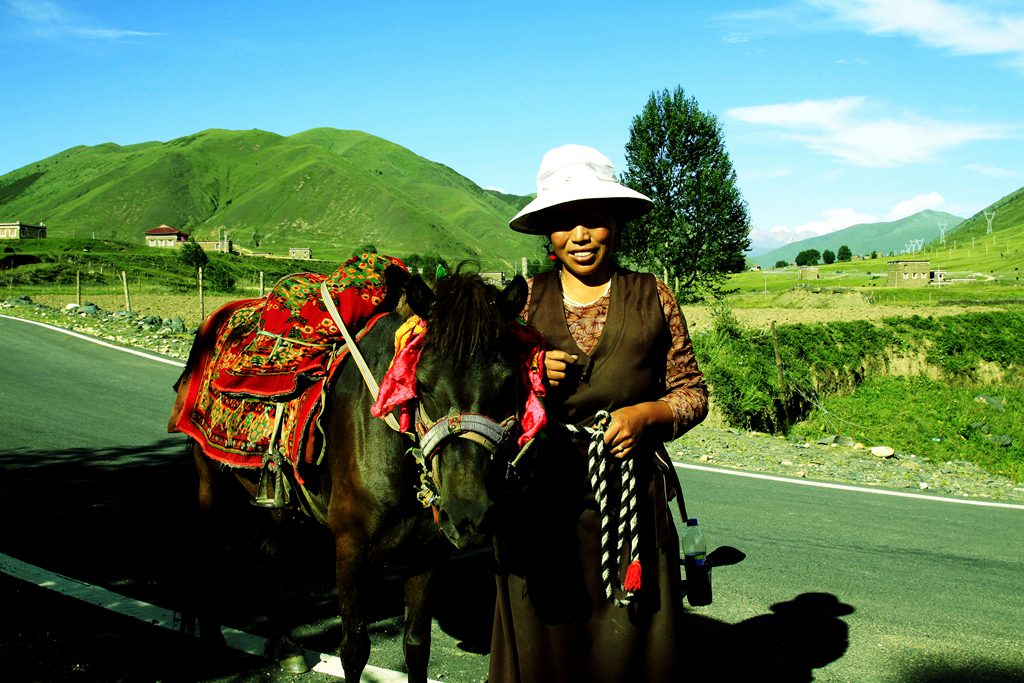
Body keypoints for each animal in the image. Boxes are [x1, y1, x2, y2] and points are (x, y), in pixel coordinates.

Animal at [171, 268, 532, 683]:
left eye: (509, 382)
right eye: (421, 383)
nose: (468, 515)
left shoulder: (427, 550)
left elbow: (417, 646)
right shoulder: (350, 545)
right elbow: (354, 649)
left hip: (275, 502)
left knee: (270, 553)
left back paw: (286, 645)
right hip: (210, 480)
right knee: (206, 550)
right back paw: (214, 638)